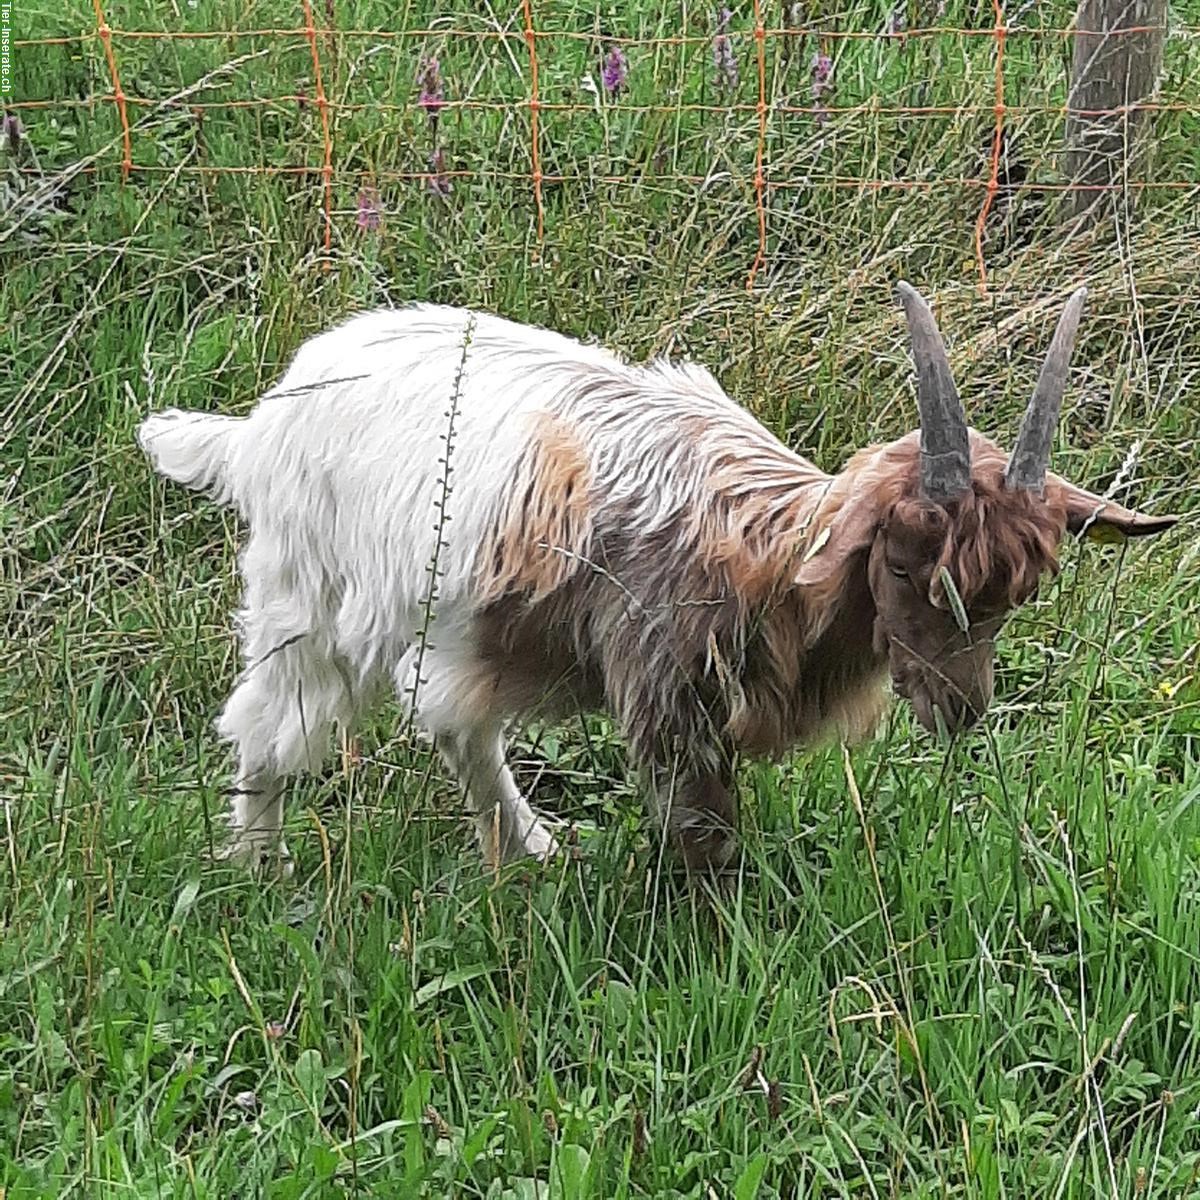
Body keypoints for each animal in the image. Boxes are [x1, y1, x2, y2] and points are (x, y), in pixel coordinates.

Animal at [138, 285, 1171, 878]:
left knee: (460, 729)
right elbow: (701, 834)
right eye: (905, 562)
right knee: (267, 726)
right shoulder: (668, 695)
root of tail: (262, 422)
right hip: (302, 592)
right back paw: (258, 867)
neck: (761, 551)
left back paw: (528, 848)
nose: (961, 709)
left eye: (1017, 595)